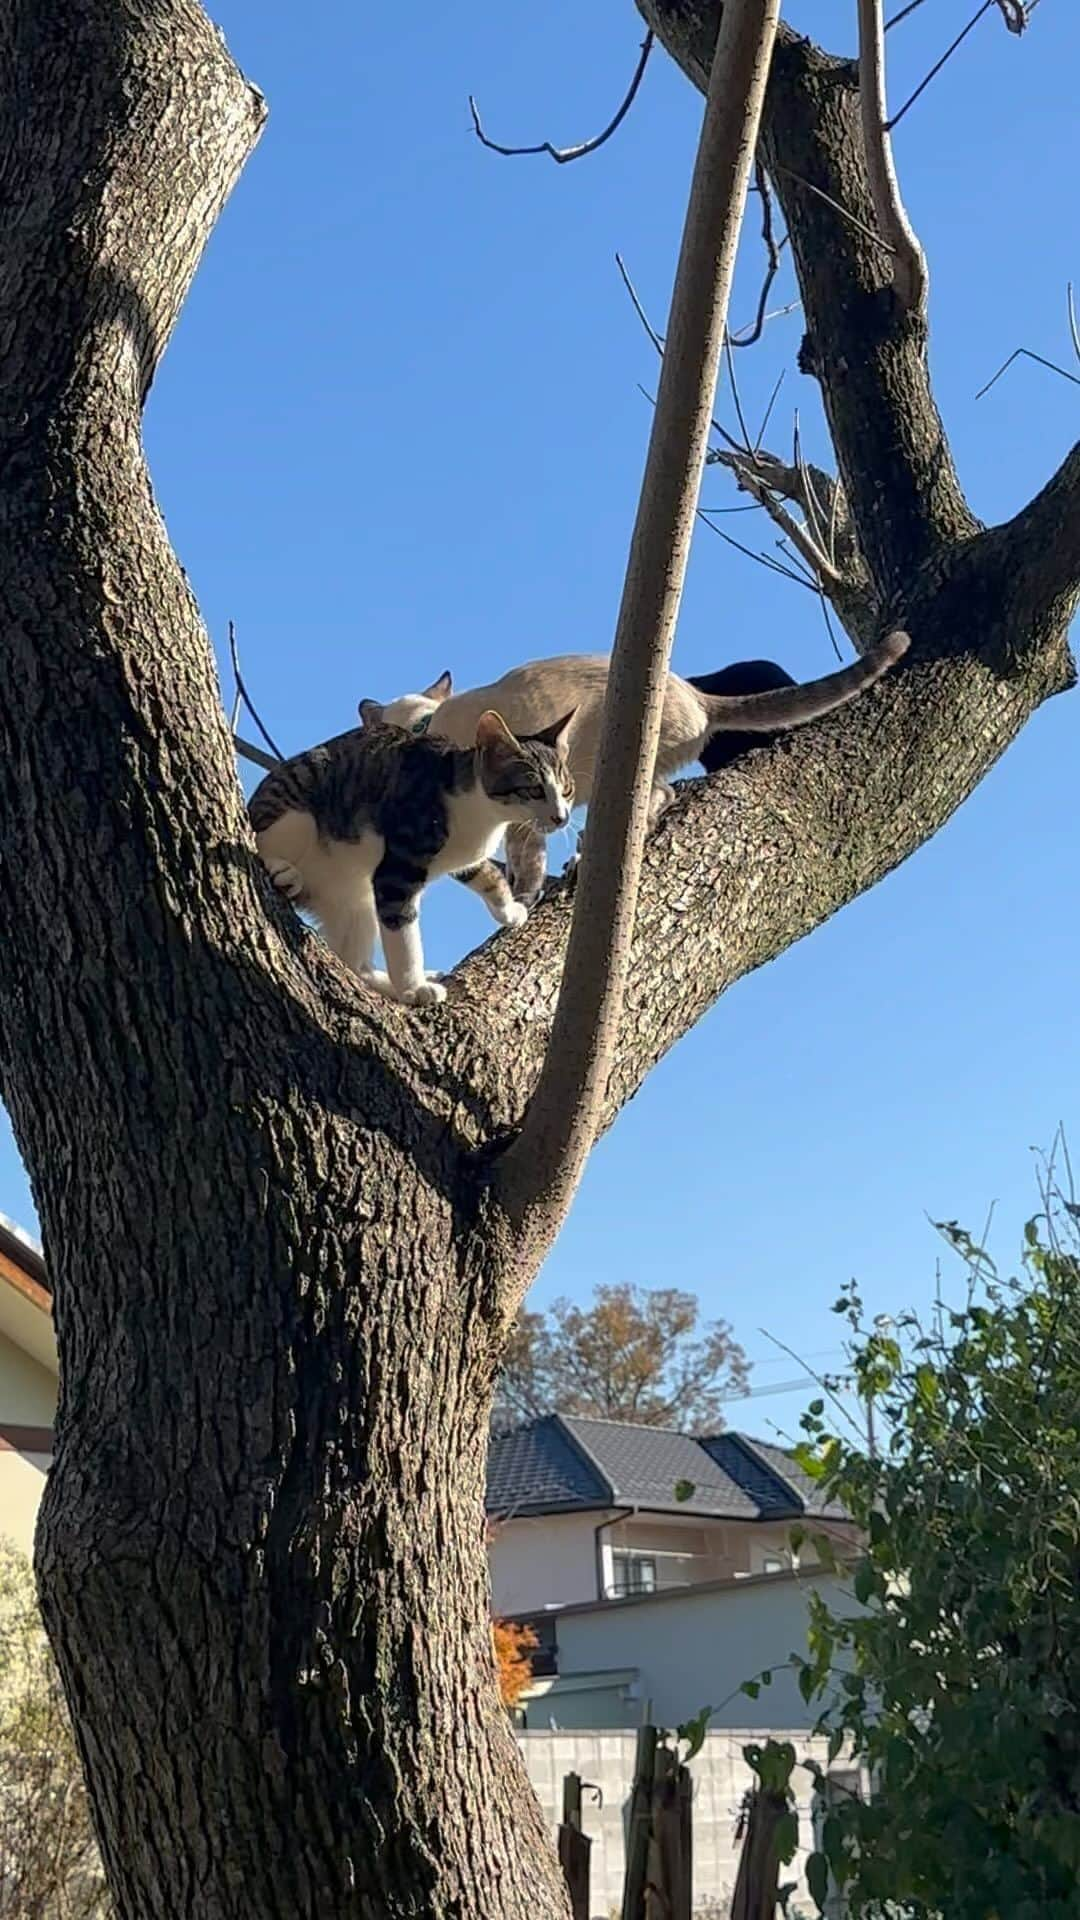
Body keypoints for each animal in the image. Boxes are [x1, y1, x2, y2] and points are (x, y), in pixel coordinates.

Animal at [249, 706, 572, 1006]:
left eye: (567, 790)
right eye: (534, 790)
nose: (562, 818)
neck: (483, 816)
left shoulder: (466, 855)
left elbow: (487, 874)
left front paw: (510, 910)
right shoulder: (399, 866)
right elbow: (402, 931)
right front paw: (413, 988)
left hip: (355, 902)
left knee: (354, 963)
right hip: (298, 813)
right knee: (260, 837)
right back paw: (282, 871)